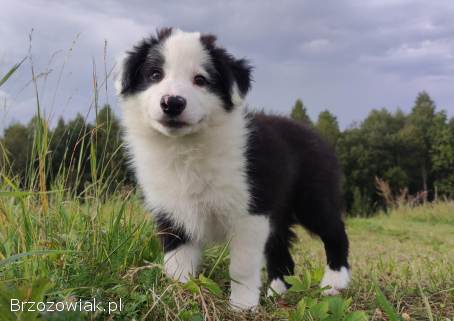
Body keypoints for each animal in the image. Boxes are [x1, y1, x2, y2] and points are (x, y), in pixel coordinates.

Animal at [115, 28, 350, 310]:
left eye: (200, 80)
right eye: (154, 75)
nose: (172, 103)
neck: (185, 148)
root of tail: (315, 133)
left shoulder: (249, 212)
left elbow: (242, 267)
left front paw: (242, 306)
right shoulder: (171, 213)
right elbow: (177, 262)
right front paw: (179, 297)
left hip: (312, 196)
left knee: (335, 232)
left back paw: (334, 283)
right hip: (277, 209)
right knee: (281, 253)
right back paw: (277, 293)